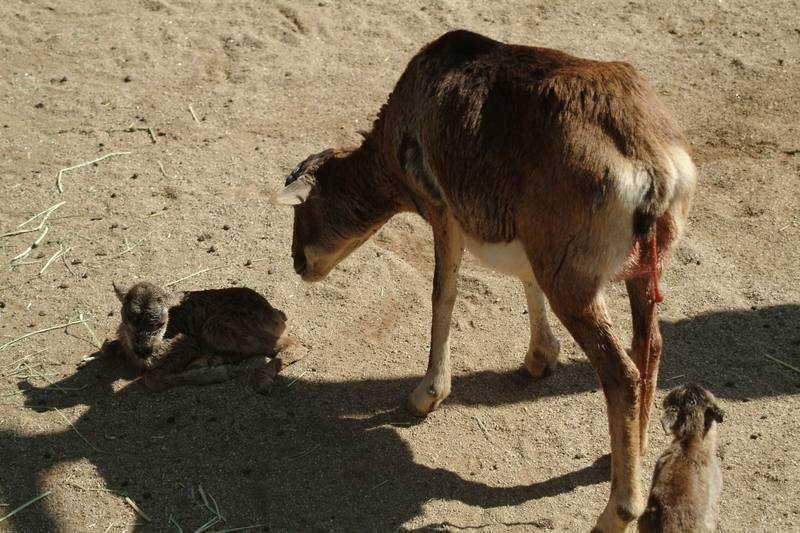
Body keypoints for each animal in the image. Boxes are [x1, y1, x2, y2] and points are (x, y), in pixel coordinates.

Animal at [272, 30, 696, 532]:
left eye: (304, 209)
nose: (299, 263)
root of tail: (652, 167)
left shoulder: (444, 216)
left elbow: (443, 294)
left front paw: (425, 397)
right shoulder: (527, 239)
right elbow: (525, 283)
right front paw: (538, 361)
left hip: (575, 288)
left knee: (621, 373)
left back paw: (616, 512)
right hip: (642, 275)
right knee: (649, 345)